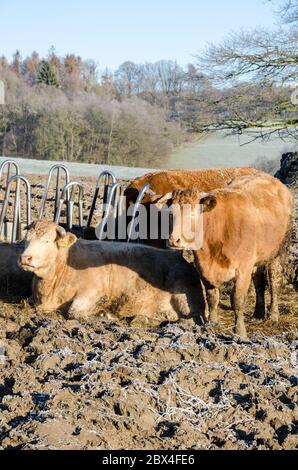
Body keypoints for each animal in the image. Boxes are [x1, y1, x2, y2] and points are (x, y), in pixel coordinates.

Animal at [18, 220, 205, 324]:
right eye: (26, 240)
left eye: (46, 241)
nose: (25, 258)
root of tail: (180, 258)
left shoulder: (92, 292)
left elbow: (74, 313)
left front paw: (104, 313)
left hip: (185, 298)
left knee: (192, 319)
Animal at [157, 174, 292, 336]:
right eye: (171, 214)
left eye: (193, 214)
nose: (174, 240)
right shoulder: (203, 269)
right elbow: (212, 298)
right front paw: (212, 324)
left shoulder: (243, 269)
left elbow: (237, 301)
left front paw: (239, 331)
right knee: (259, 281)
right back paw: (258, 313)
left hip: (279, 251)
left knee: (274, 281)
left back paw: (273, 316)